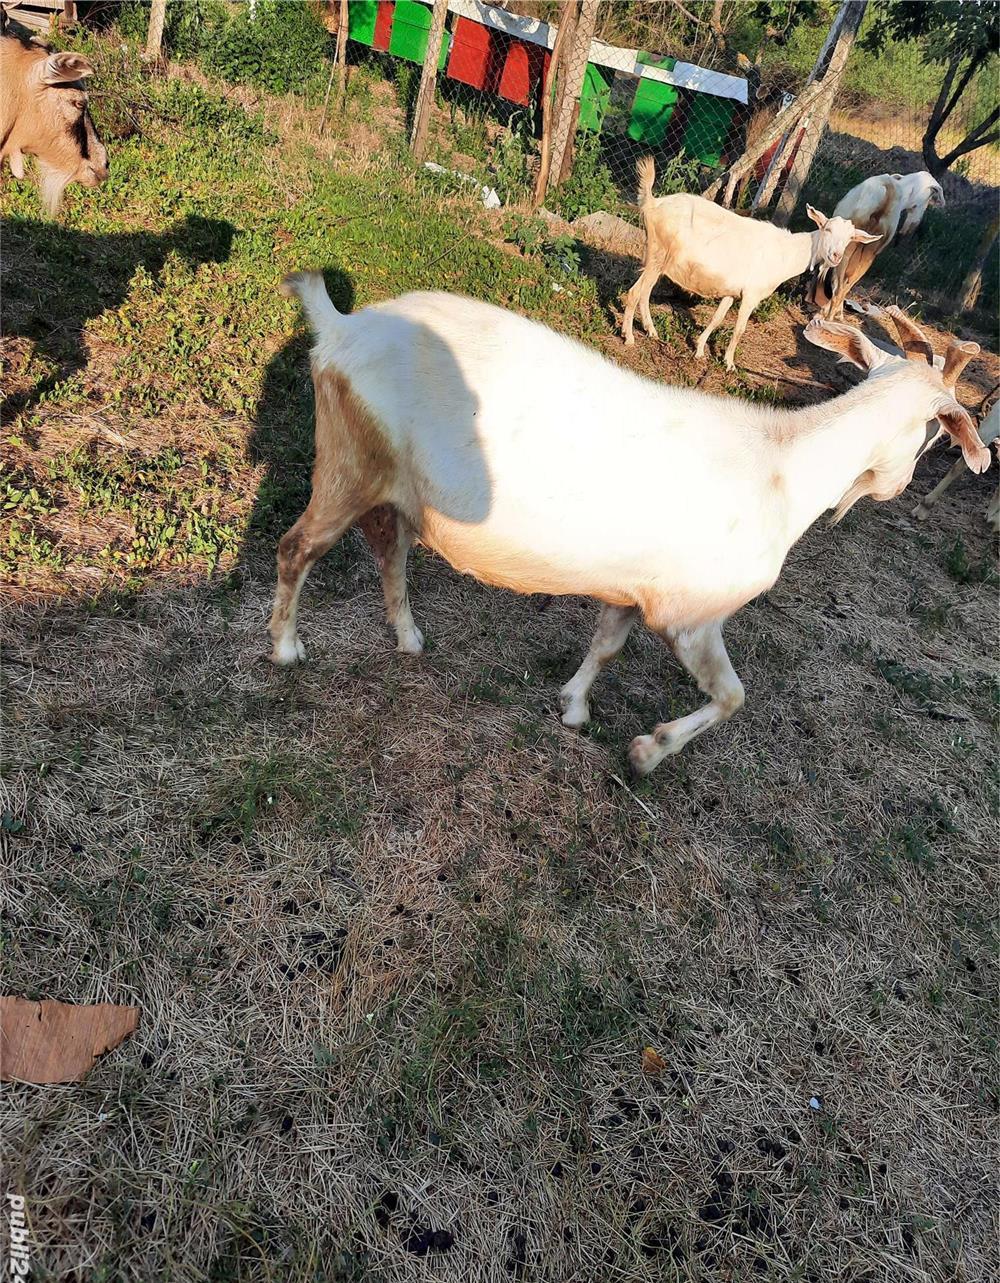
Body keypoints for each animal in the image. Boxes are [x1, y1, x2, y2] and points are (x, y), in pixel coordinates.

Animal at [270, 275, 986, 775]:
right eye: (934, 431)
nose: (900, 485)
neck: (784, 469)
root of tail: (339, 327)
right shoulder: (692, 615)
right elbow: (732, 696)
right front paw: (648, 751)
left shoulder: (630, 588)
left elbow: (607, 644)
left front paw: (574, 707)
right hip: (349, 460)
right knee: (297, 546)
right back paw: (286, 647)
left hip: (393, 484)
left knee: (388, 548)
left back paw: (409, 637)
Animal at [621, 157, 880, 370]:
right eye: (826, 229)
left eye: (850, 239)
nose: (836, 256)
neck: (786, 253)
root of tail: (653, 204)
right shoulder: (752, 295)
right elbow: (739, 329)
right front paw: (729, 364)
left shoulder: (732, 291)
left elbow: (716, 319)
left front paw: (699, 350)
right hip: (657, 255)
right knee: (634, 293)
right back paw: (629, 337)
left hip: (658, 261)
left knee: (645, 292)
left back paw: (651, 331)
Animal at [810, 171, 945, 319]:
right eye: (925, 202)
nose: (913, 227)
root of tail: (887, 194)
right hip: (869, 252)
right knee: (846, 285)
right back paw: (834, 316)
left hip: (850, 248)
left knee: (838, 285)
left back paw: (825, 316)